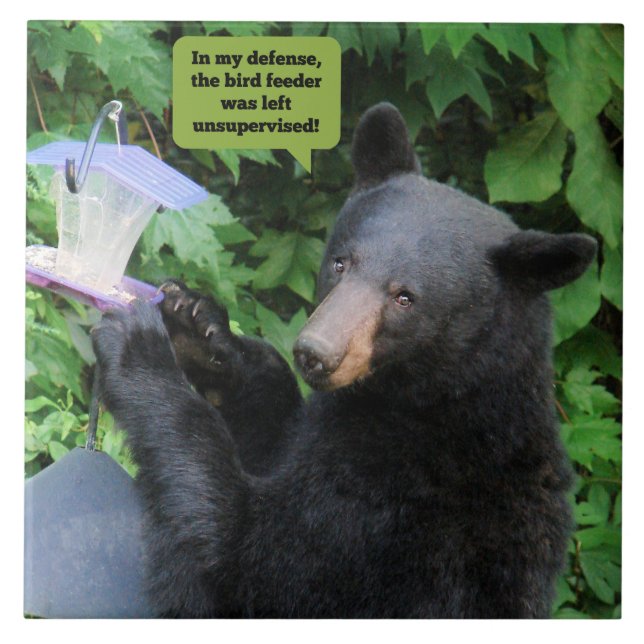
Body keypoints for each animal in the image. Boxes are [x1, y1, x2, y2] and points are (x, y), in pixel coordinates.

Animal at [91, 103, 597, 618]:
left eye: (404, 297)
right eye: (340, 262)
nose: (315, 353)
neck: (430, 399)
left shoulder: (393, 507)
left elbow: (264, 560)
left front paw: (140, 350)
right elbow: (273, 436)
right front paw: (198, 327)